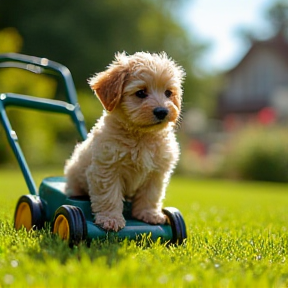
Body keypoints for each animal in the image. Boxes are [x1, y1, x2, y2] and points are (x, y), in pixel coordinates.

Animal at [63, 51, 184, 232]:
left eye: (168, 93)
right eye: (140, 93)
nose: (162, 111)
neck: (141, 136)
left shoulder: (156, 173)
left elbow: (151, 195)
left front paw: (150, 214)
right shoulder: (107, 169)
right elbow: (109, 196)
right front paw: (111, 219)